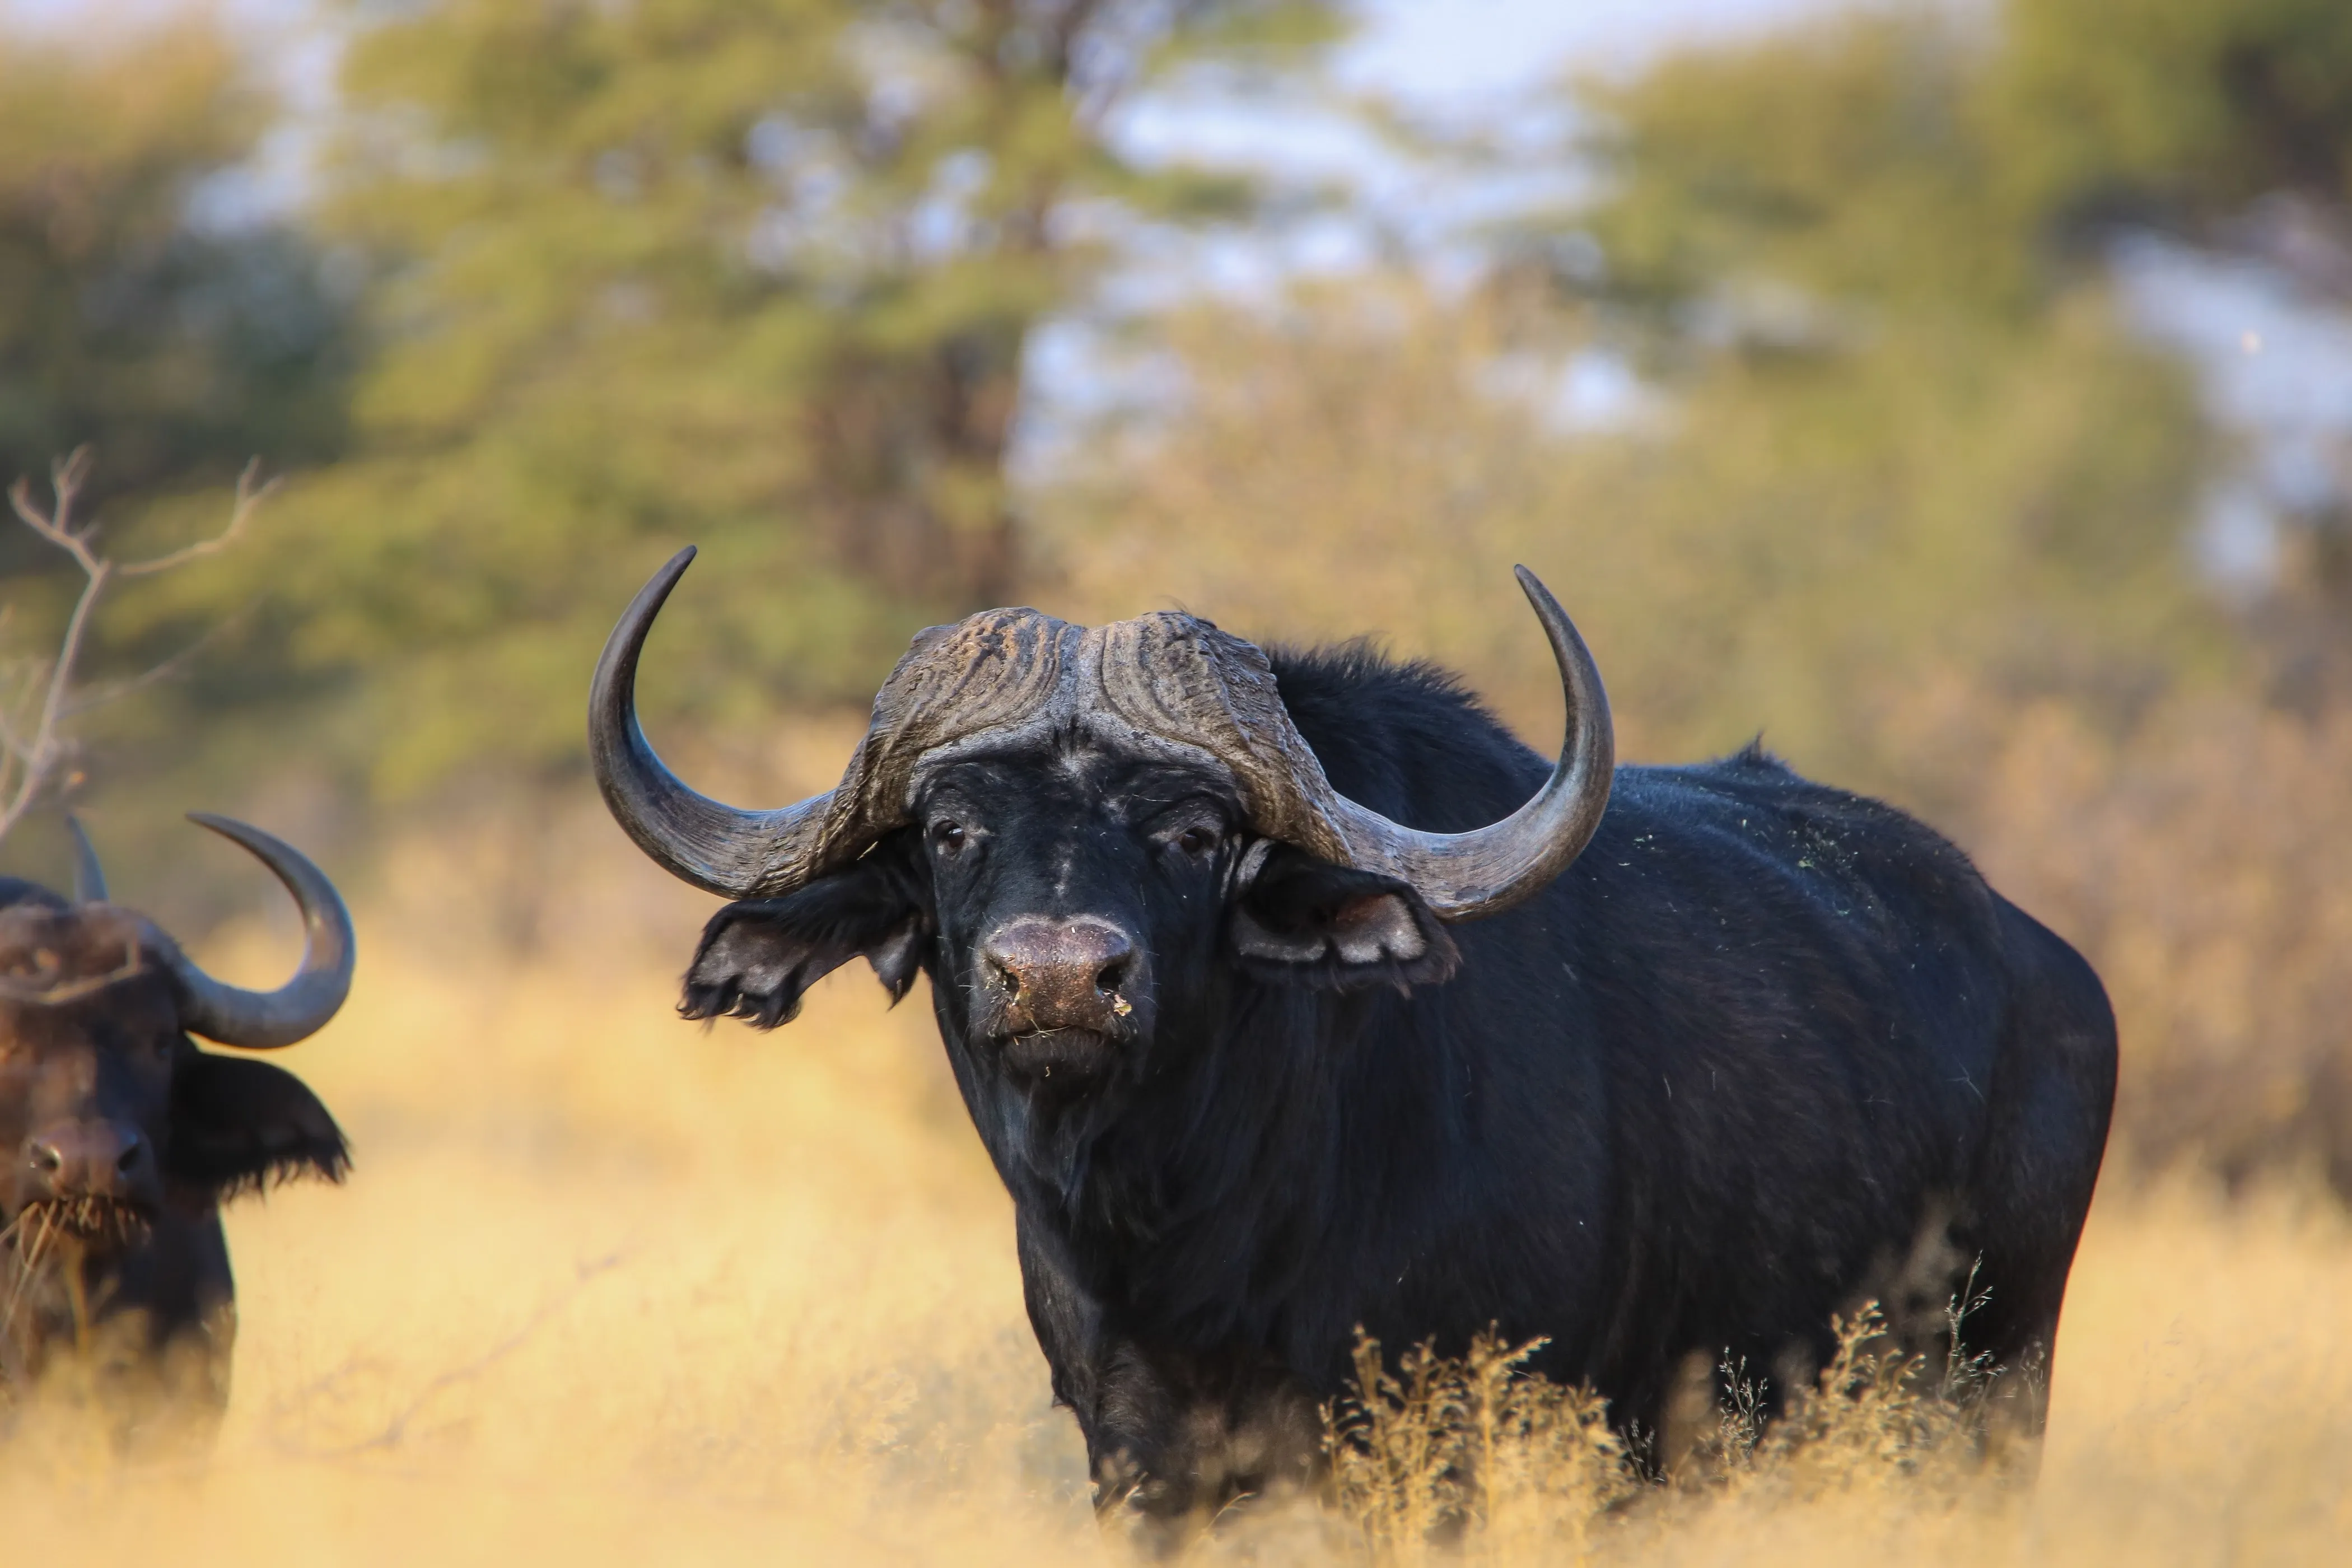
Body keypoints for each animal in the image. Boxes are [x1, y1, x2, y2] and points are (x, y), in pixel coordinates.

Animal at [592, 549, 2116, 1523]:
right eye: (953, 830)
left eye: (1198, 835)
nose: (1062, 977)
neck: (1203, 1238)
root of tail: (2051, 972)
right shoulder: (1136, 1462)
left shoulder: (1451, 1438)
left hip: (1992, 1388)